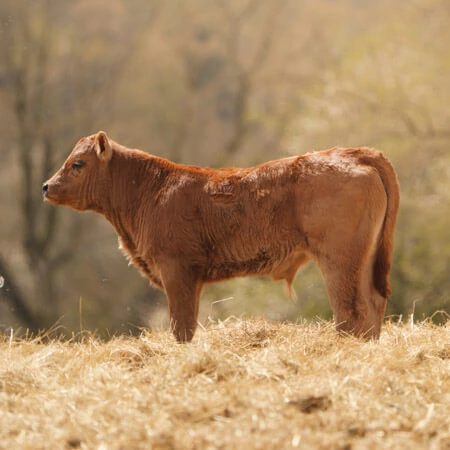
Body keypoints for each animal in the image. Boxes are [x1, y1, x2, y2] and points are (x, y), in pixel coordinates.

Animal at [44, 132, 400, 342]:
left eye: (78, 163)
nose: (46, 186)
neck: (151, 191)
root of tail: (356, 152)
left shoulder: (177, 271)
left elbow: (181, 326)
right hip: (365, 259)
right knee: (373, 303)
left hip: (339, 261)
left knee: (350, 309)